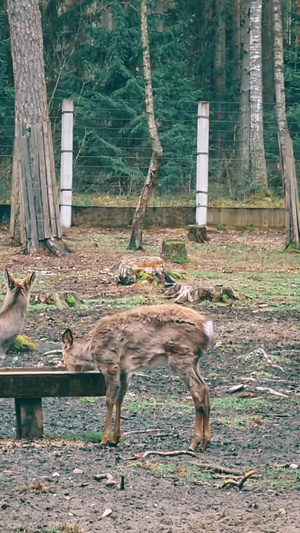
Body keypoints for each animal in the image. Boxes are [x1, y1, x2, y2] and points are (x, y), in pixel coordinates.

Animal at [62, 304, 213, 448]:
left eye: (63, 358)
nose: (67, 368)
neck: (90, 350)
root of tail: (207, 327)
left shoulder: (110, 364)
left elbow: (110, 400)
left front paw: (104, 439)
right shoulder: (125, 371)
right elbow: (120, 399)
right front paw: (115, 438)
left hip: (180, 355)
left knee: (197, 390)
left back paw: (194, 442)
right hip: (194, 360)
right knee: (205, 387)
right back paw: (205, 442)